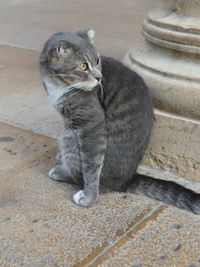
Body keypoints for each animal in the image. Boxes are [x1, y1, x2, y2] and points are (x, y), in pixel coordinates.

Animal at [39, 28, 200, 215]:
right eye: (83, 66)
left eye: (97, 61)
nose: (99, 78)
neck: (58, 85)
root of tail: (126, 180)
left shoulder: (92, 124)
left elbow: (91, 166)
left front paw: (89, 196)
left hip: (69, 138)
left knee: (84, 174)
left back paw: (61, 172)